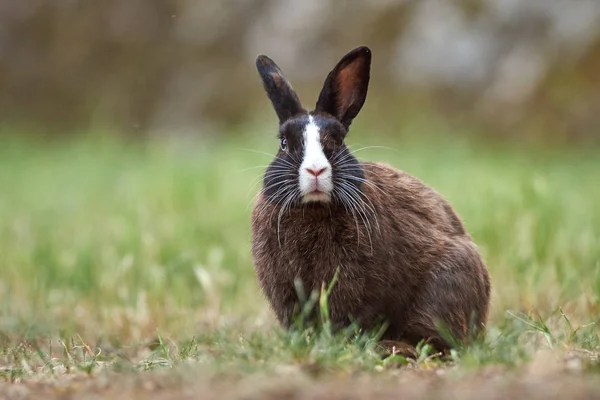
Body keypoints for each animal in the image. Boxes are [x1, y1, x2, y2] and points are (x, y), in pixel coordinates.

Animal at [251, 45, 490, 354]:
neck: (314, 208)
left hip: (446, 283)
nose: (315, 170)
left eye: (338, 142)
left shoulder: (354, 284)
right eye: (283, 144)